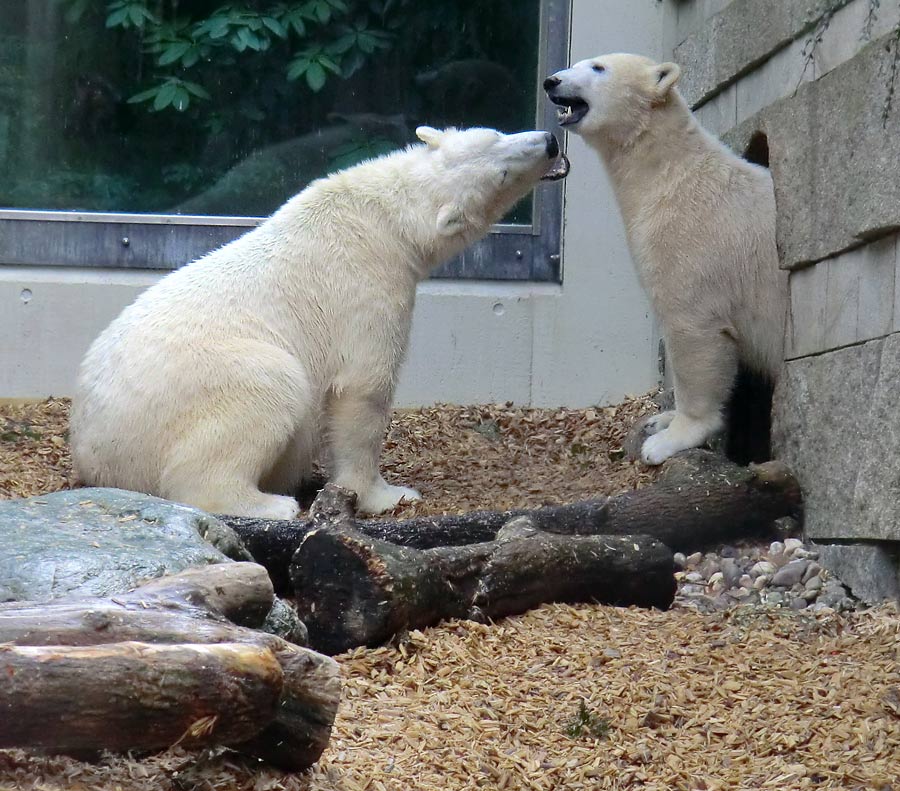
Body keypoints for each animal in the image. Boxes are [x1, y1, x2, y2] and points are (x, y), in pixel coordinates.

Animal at [70, 126, 568, 516]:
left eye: (495, 136)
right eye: (502, 173)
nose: (549, 141)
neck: (383, 216)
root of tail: (90, 451)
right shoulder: (369, 286)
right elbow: (362, 388)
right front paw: (389, 494)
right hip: (198, 384)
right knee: (268, 387)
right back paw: (272, 503)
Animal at [540, 54, 788, 464]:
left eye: (598, 68)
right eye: (577, 63)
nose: (552, 81)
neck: (668, 173)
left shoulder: (691, 240)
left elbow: (693, 331)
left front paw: (669, 439)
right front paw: (662, 419)